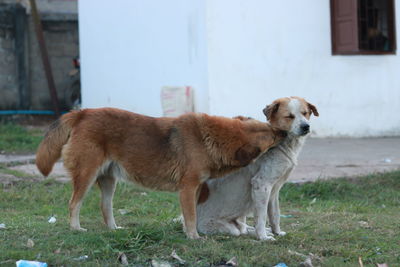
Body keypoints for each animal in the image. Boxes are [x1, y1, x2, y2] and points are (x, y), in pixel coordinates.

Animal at [34, 108, 284, 240]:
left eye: (270, 128)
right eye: (271, 136)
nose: (284, 131)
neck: (209, 137)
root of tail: (82, 113)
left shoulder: (194, 190)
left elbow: (190, 216)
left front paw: (188, 232)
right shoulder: (187, 188)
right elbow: (190, 216)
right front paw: (193, 237)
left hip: (108, 181)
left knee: (105, 207)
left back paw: (114, 229)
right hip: (86, 175)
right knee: (73, 204)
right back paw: (75, 228)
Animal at [195, 96, 318, 241]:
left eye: (305, 113)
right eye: (289, 116)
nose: (306, 126)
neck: (280, 144)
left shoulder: (274, 190)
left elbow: (275, 214)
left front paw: (277, 232)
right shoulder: (261, 185)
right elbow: (261, 217)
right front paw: (263, 237)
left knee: (244, 229)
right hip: (226, 228)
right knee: (239, 231)